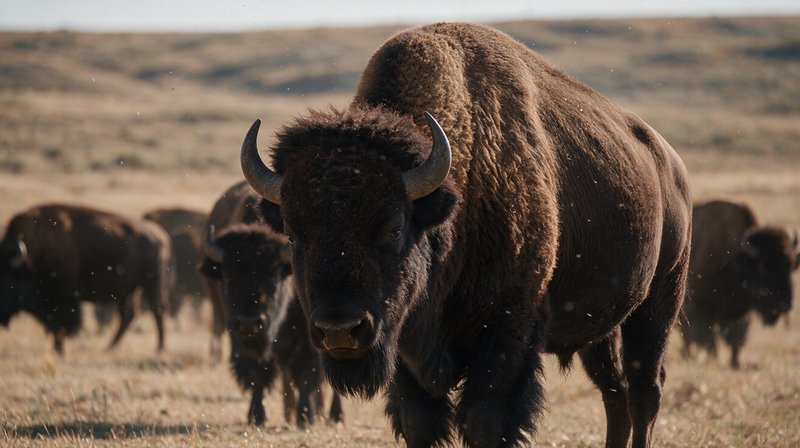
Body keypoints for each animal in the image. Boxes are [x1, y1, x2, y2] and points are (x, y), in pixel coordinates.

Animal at [0, 203, 171, 354]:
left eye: (6, 279)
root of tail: (159, 236)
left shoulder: (63, 297)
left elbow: (60, 324)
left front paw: (59, 351)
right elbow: (55, 325)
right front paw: (58, 349)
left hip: (150, 283)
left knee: (157, 310)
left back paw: (159, 348)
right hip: (129, 290)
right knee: (128, 315)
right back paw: (109, 348)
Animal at [200, 223, 343, 427]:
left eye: (273, 274)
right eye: (227, 276)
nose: (249, 323)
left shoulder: (309, 342)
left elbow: (306, 373)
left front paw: (305, 416)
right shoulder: (242, 342)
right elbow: (257, 376)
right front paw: (256, 416)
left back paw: (335, 415)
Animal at [242, 23, 691, 448]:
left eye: (394, 227)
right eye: (293, 235)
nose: (339, 329)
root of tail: (671, 163)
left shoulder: (507, 333)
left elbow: (484, 422)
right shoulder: (405, 344)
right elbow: (418, 422)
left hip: (659, 302)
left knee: (645, 390)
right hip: (604, 327)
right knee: (614, 391)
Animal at [681, 199, 798, 368]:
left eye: (791, 266)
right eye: (763, 267)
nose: (786, 305)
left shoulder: (741, 315)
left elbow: (736, 339)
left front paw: (735, 363)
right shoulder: (701, 309)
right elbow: (708, 338)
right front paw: (715, 359)